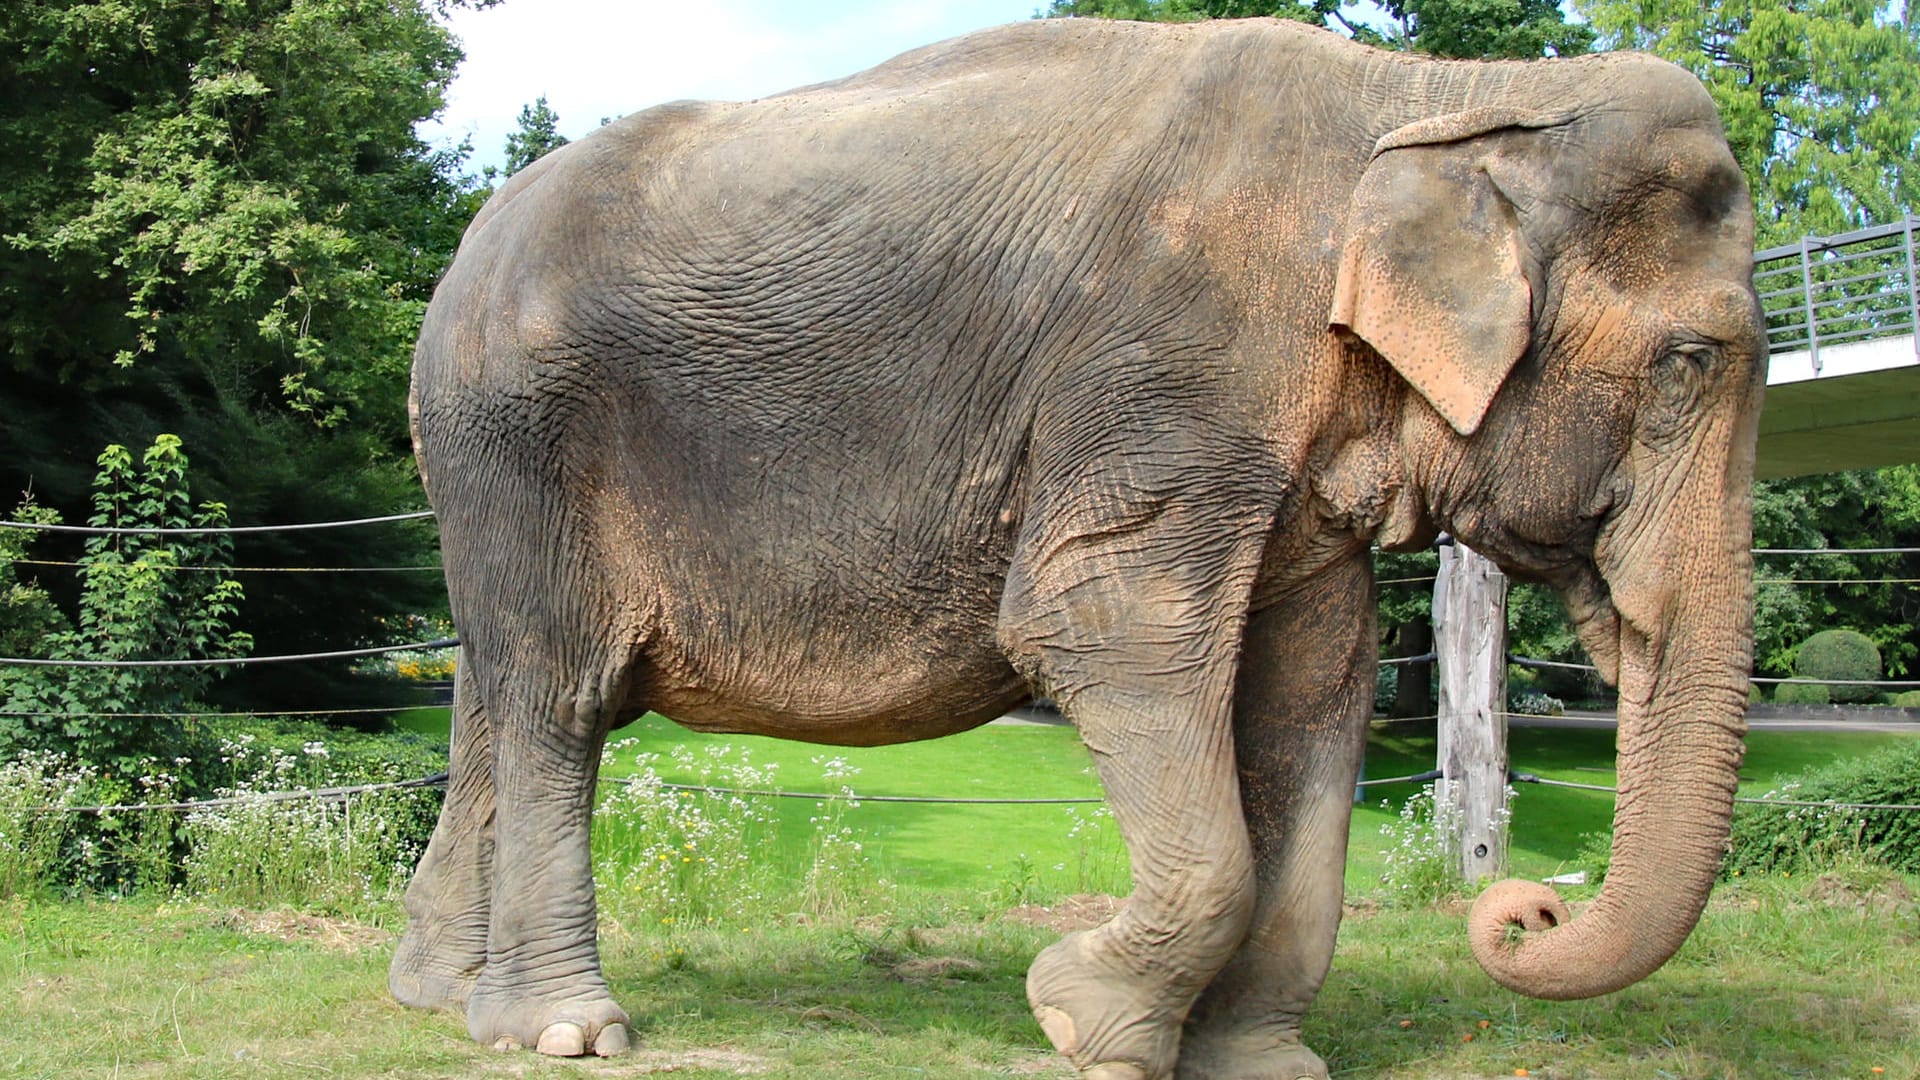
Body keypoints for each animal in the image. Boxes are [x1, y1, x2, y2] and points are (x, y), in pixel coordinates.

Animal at [393, 16, 1766, 1076]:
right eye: (1689, 363)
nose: (1524, 910)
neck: (1449, 93)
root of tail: (458, 259)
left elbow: (1314, 691)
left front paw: (1260, 1065)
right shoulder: (1166, 376)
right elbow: (1099, 627)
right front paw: (1080, 1022)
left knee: (490, 690)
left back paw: (438, 997)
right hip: (519, 438)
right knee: (560, 695)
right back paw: (561, 1033)